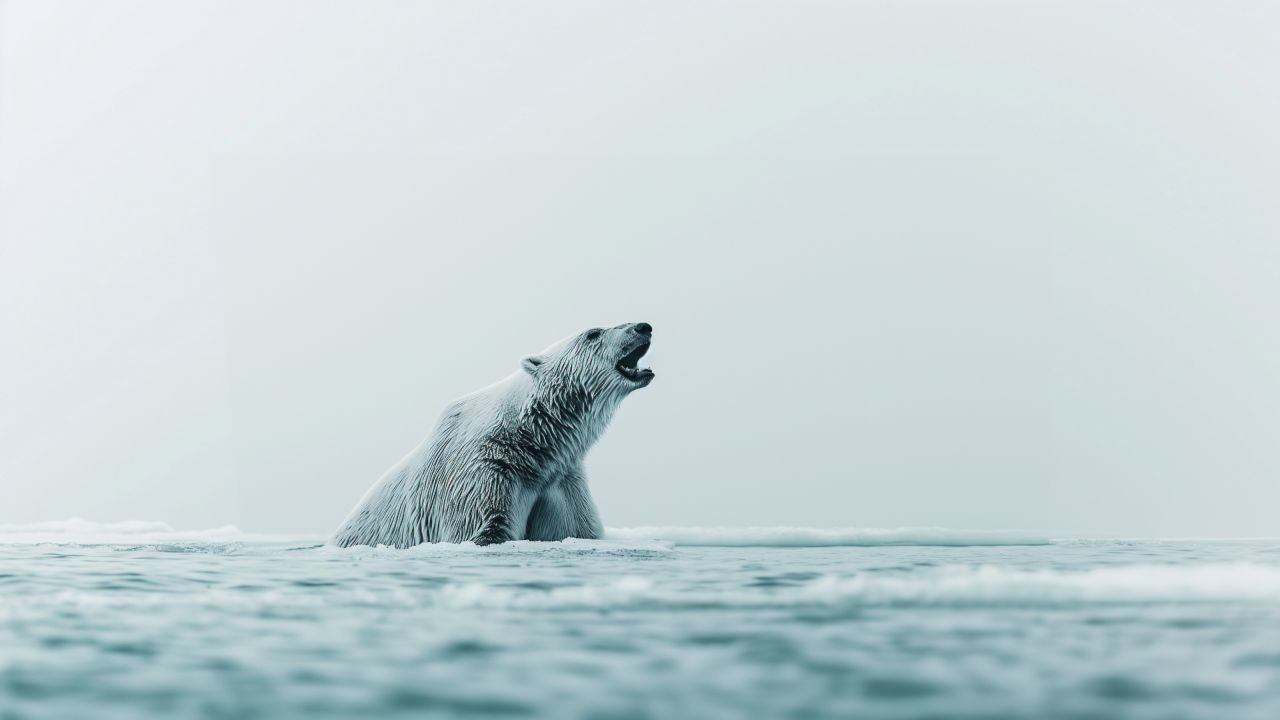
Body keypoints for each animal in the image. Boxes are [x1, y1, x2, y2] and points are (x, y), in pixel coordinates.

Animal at [330, 322, 655, 548]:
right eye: (593, 332)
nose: (643, 326)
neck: (527, 441)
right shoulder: (482, 472)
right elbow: (486, 528)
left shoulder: (560, 479)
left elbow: (579, 528)